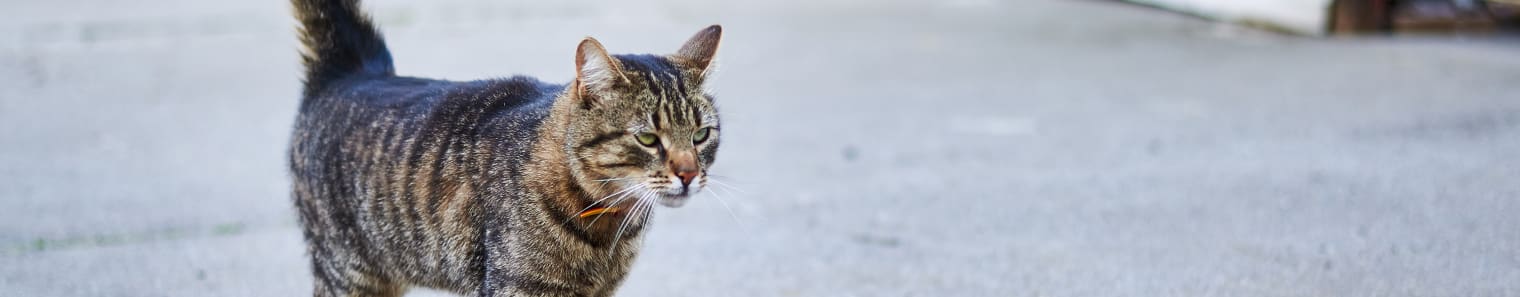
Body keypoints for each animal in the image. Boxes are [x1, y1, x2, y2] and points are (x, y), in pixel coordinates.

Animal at [290, 1, 729, 295]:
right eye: (648, 138)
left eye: (701, 135)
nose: (689, 174)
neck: (606, 228)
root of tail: (353, 71)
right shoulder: (516, 287)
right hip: (348, 273)